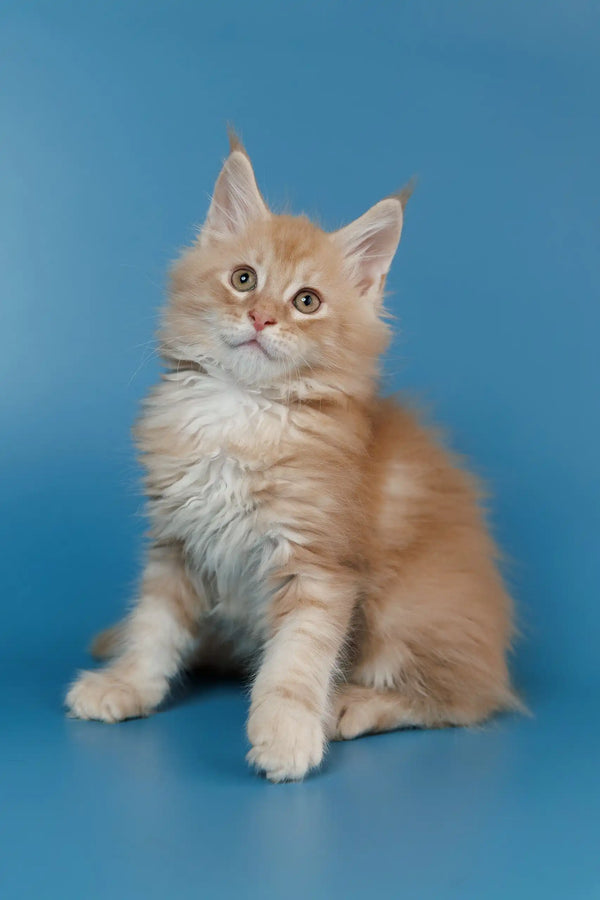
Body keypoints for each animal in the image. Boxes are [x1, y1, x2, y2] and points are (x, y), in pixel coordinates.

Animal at [64, 132, 516, 780]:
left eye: (306, 301)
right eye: (244, 278)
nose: (261, 317)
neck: (242, 412)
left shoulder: (318, 562)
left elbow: (296, 658)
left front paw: (286, 733)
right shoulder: (178, 542)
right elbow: (154, 627)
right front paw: (127, 684)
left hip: (410, 610)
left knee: (463, 698)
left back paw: (351, 706)